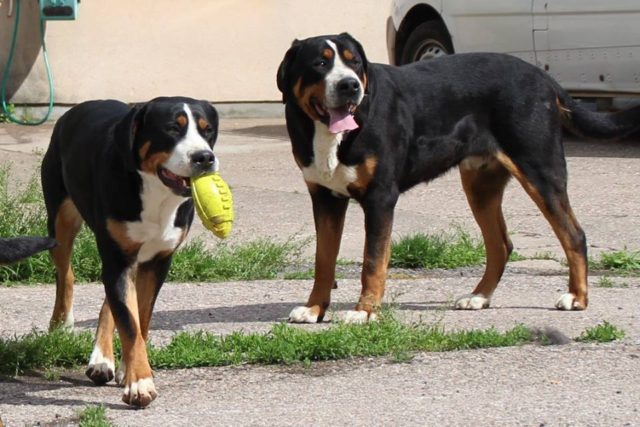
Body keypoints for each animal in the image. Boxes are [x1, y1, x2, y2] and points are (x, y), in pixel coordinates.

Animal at [41, 97, 220, 408]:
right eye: (172, 128)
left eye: (207, 130)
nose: (204, 157)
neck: (156, 195)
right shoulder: (117, 260)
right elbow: (129, 321)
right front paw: (140, 383)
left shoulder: (156, 262)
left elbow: (139, 319)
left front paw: (131, 371)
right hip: (61, 221)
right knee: (66, 275)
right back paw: (62, 325)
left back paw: (102, 359)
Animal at [278, 32, 640, 324]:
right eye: (320, 64)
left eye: (354, 63)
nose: (350, 85)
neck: (330, 136)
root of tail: (540, 74)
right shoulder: (324, 197)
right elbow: (324, 259)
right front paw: (314, 309)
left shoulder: (380, 197)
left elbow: (372, 262)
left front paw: (365, 312)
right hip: (480, 185)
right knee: (501, 244)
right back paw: (479, 297)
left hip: (539, 169)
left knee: (573, 234)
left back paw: (576, 297)